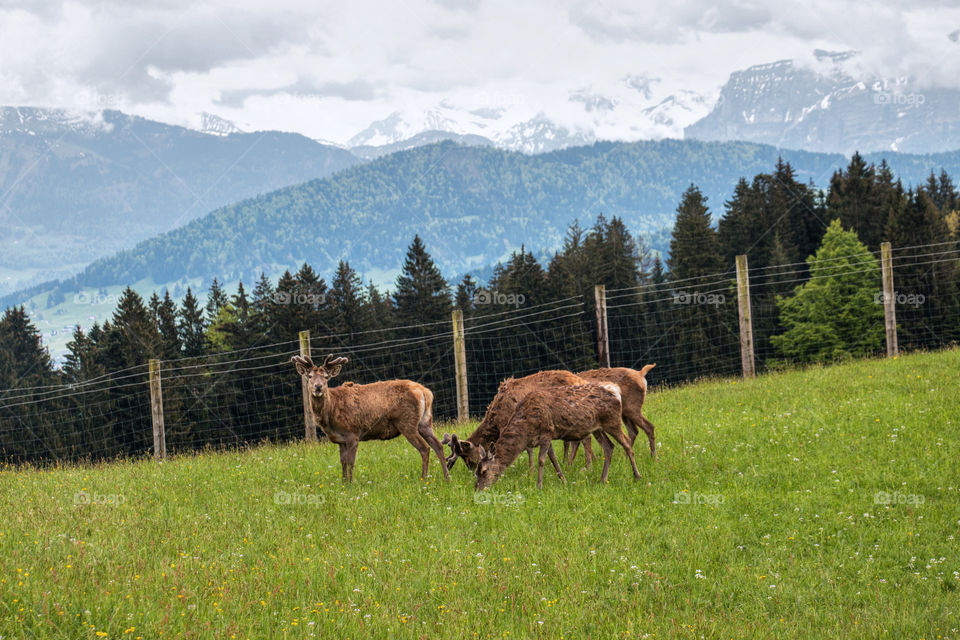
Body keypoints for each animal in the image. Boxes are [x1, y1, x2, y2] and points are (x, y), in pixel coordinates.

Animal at [288, 352, 450, 482]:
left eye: (326, 377)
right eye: (309, 376)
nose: (318, 387)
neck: (331, 413)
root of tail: (425, 392)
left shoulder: (353, 433)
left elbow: (350, 461)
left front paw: (350, 483)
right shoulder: (340, 440)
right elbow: (342, 462)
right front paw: (343, 482)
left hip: (407, 422)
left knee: (424, 448)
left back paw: (424, 478)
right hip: (425, 422)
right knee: (438, 445)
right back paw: (447, 477)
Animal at [442, 370, 592, 476]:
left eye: (468, 458)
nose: (473, 471)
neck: (495, 420)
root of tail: (581, 380)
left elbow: (527, 449)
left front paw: (531, 471)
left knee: (585, 439)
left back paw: (586, 466)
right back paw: (571, 464)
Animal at [474, 382, 640, 492]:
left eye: (484, 471)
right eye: (476, 471)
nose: (477, 489)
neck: (526, 430)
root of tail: (616, 391)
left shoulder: (547, 431)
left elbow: (542, 460)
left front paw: (539, 486)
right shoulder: (548, 437)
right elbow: (553, 459)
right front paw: (564, 480)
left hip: (613, 420)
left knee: (626, 443)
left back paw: (637, 476)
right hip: (597, 428)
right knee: (609, 446)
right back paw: (603, 480)